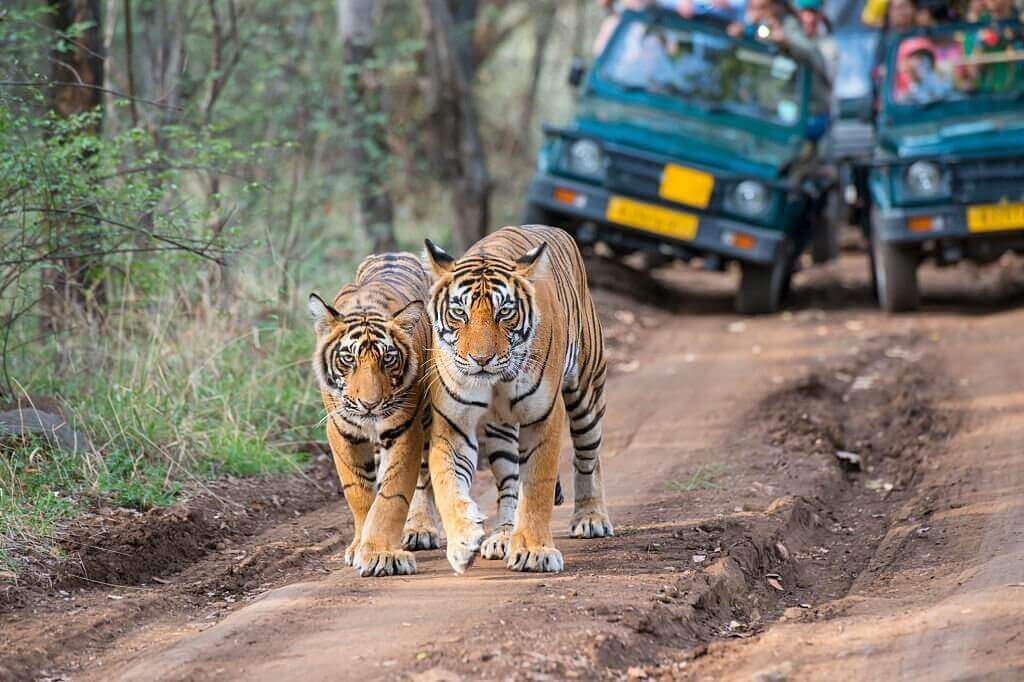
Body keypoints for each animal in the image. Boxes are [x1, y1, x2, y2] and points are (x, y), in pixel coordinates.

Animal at [303, 251, 440, 577]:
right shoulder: (342, 431)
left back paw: (420, 529)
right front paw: (360, 547)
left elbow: (392, 494)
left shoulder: (405, 429)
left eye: (388, 359)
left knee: (423, 475)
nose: (369, 404)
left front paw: (381, 554)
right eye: (348, 359)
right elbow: (359, 492)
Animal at [421, 224, 606, 573]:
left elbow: (536, 486)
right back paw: (504, 535)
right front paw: (464, 540)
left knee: (588, 458)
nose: (481, 359)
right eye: (459, 312)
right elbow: (447, 484)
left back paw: (591, 518)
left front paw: (535, 551)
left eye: (504, 312)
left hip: (586, 394)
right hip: (500, 429)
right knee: (508, 483)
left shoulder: (544, 417)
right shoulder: (452, 425)